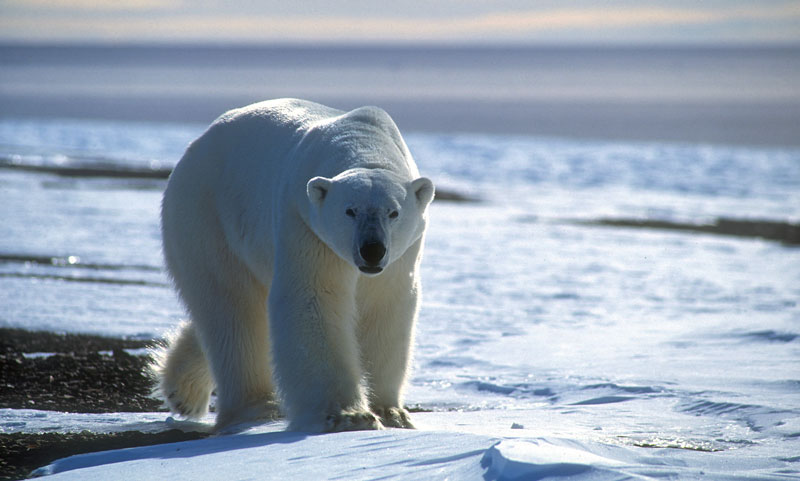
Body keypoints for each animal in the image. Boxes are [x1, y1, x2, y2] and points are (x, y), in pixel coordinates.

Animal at [152, 97, 434, 432]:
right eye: (350, 210)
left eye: (393, 212)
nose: (372, 250)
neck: (364, 141)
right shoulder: (304, 223)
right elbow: (313, 300)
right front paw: (349, 416)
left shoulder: (401, 256)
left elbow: (385, 307)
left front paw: (391, 412)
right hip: (207, 215)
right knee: (232, 309)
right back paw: (256, 406)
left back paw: (182, 389)